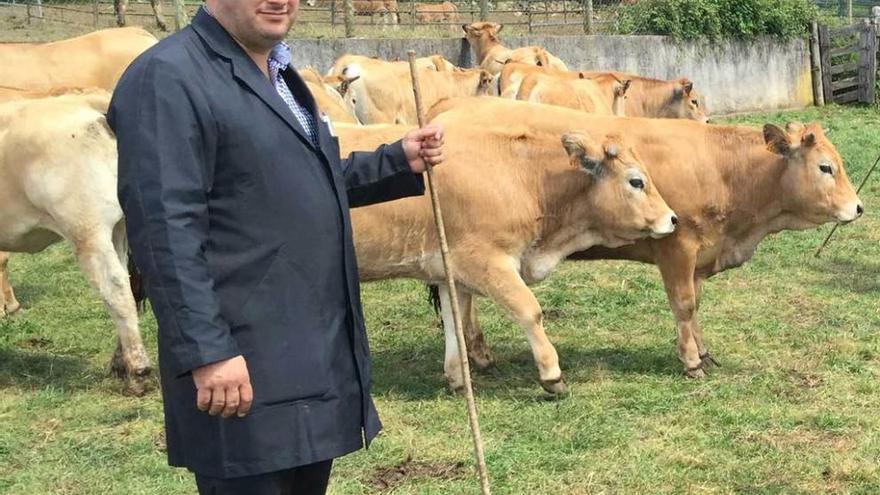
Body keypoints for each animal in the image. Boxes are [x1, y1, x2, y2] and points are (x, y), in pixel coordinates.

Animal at [0, 93, 150, 396]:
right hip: (117, 230)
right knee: (128, 285)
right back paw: (121, 365)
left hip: (88, 230)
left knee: (116, 291)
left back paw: (138, 371)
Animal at [336, 123, 672, 392]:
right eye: (636, 181)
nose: (672, 218)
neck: (523, 179)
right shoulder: (484, 262)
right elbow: (529, 310)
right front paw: (551, 374)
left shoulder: (448, 272)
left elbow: (455, 322)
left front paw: (458, 378)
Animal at [430, 99, 864, 382]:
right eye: (826, 167)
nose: (858, 207)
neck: (722, 169)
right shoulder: (677, 245)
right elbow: (684, 304)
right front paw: (691, 362)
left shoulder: (700, 255)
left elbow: (695, 305)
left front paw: (703, 352)